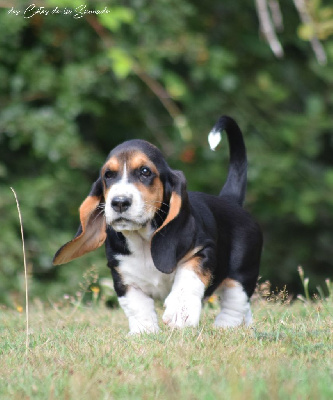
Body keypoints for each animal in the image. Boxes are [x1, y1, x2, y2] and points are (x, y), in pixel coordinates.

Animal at [53, 116, 262, 334]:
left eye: (145, 172)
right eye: (108, 175)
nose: (119, 202)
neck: (143, 239)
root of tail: (230, 200)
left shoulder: (203, 250)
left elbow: (188, 278)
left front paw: (180, 312)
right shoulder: (123, 276)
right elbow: (137, 305)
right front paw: (143, 332)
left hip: (242, 273)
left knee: (235, 301)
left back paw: (226, 327)